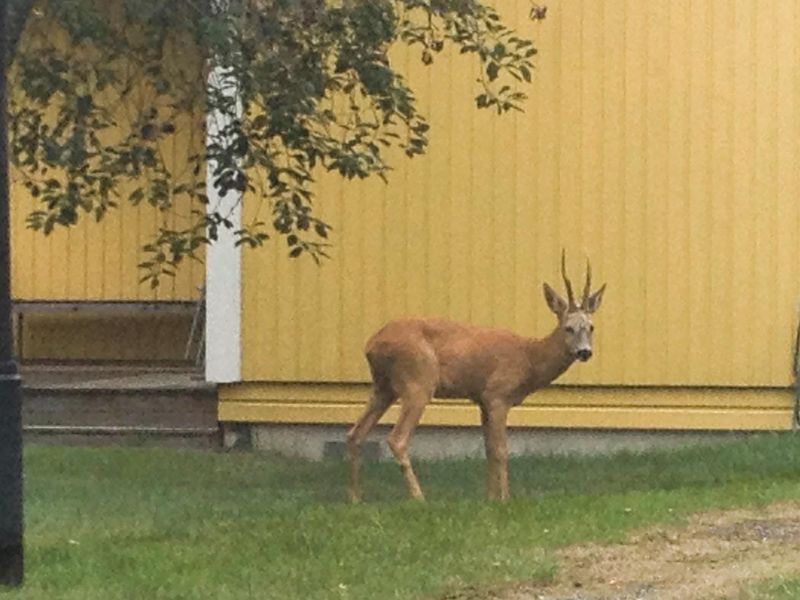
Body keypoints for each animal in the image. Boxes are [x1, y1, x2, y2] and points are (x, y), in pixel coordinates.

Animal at [346, 253, 608, 502]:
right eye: (568, 328)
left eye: (591, 327)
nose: (585, 352)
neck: (528, 358)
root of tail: (372, 344)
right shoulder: (498, 395)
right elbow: (502, 450)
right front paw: (504, 499)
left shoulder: (482, 399)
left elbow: (489, 449)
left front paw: (489, 497)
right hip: (417, 381)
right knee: (397, 439)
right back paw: (419, 498)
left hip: (383, 386)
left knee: (355, 433)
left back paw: (356, 498)